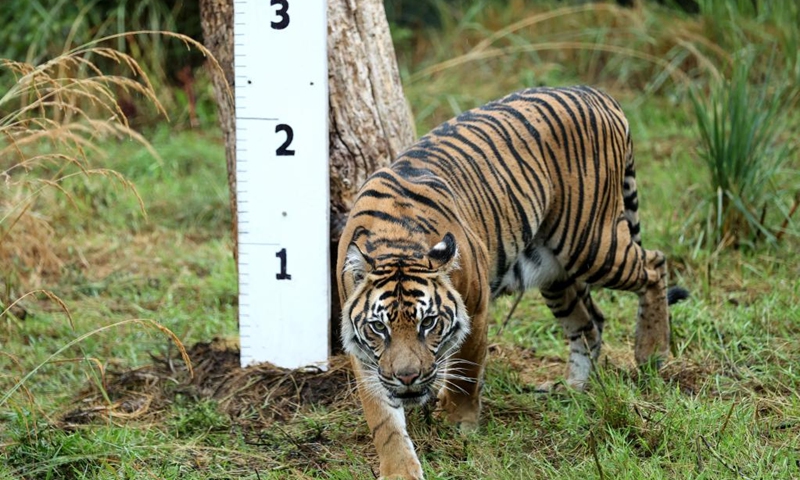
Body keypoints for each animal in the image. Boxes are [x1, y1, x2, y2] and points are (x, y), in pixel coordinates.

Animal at [334, 84, 692, 478]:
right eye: (378, 328)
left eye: (428, 323)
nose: (408, 378)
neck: (395, 242)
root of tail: (595, 92)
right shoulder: (365, 354)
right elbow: (383, 421)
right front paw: (400, 469)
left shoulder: (475, 309)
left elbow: (466, 372)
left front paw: (459, 424)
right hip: (554, 271)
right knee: (590, 322)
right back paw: (572, 388)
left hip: (592, 243)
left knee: (654, 265)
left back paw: (651, 351)